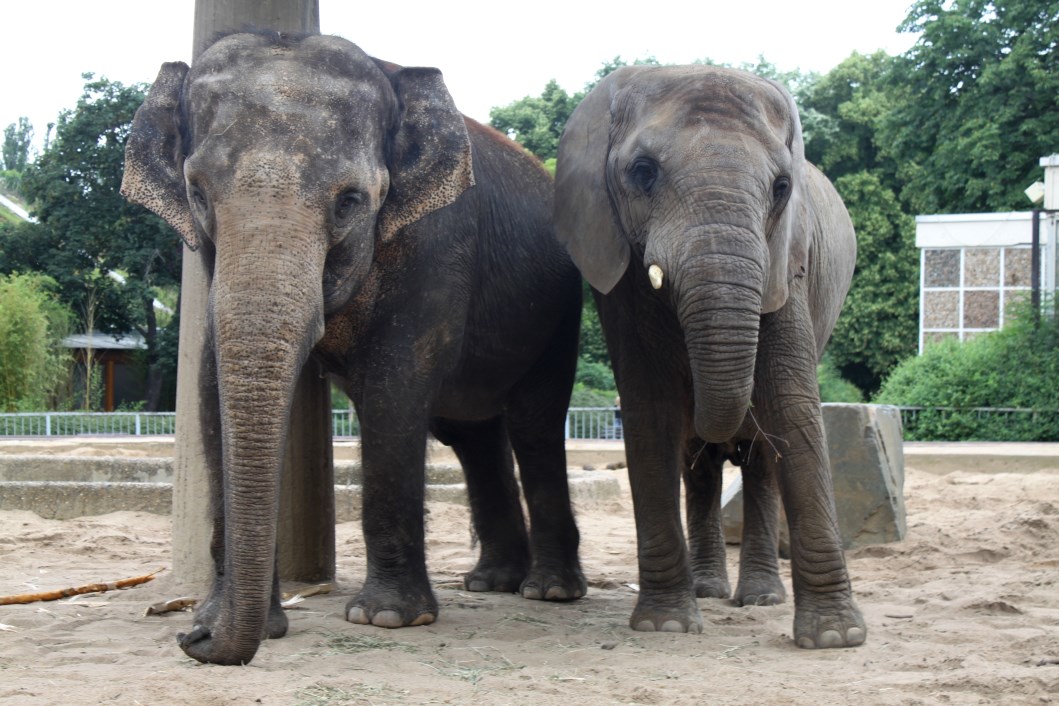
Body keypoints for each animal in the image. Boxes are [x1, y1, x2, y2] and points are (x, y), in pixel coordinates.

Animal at [121, 32, 586, 665]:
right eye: (197, 193)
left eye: (349, 201)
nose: (190, 638)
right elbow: (212, 388)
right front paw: (231, 621)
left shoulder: (437, 245)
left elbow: (394, 391)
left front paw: (386, 618)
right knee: (472, 435)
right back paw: (492, 582)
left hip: (560, 313)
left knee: (534, 424)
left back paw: (549, 591)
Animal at [554, 65, 865, 649]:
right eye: (643, 172)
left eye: (782, 187)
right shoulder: (618, 273)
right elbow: (650, 409)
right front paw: (666, 625)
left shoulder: (788, 261)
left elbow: (790, 406)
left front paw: (836, 638)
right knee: (695, 466)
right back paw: (706, 593)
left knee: (762, 460)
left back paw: (760, 598)